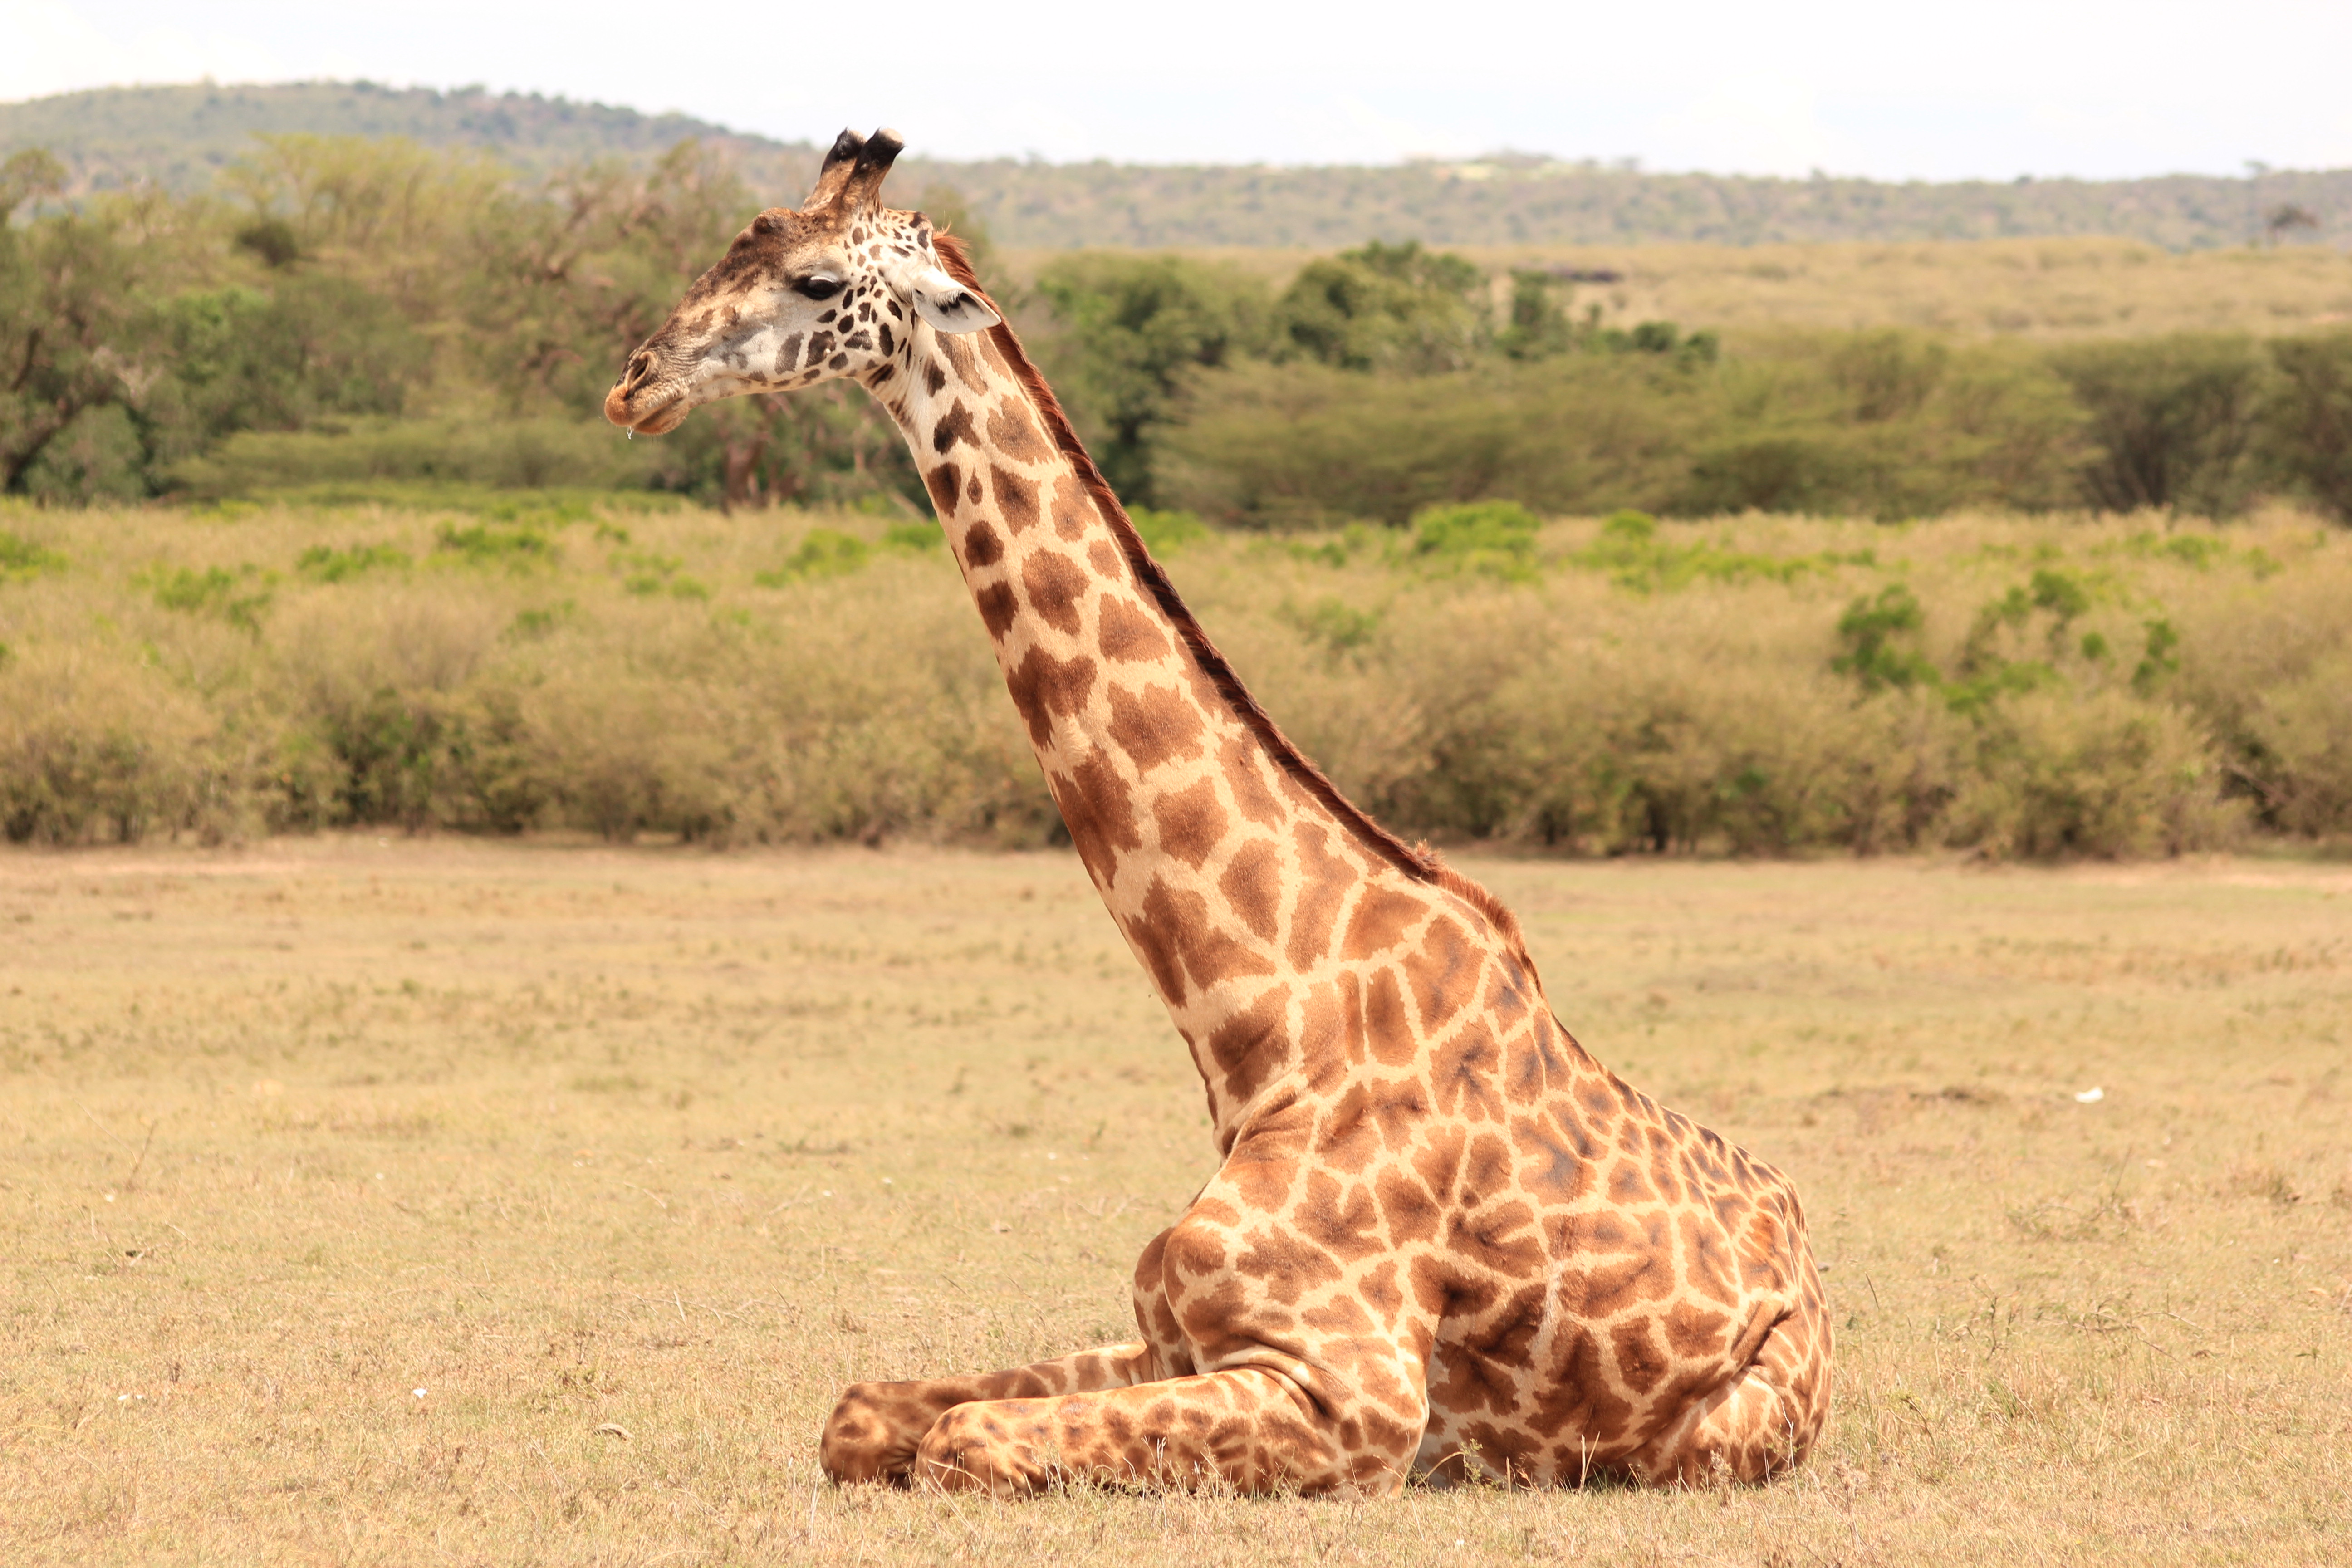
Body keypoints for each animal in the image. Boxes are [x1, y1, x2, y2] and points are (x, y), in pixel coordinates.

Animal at [605, 129, 1832, 1497]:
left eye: (817, 282)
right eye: (735, 243)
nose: (638, 381)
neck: (1261, 1022)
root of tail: (1812, 1266)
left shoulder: (1350, 1397)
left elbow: (964, 1438)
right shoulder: (1168, 1334)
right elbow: (868, 1411)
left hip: (1724, 1434)